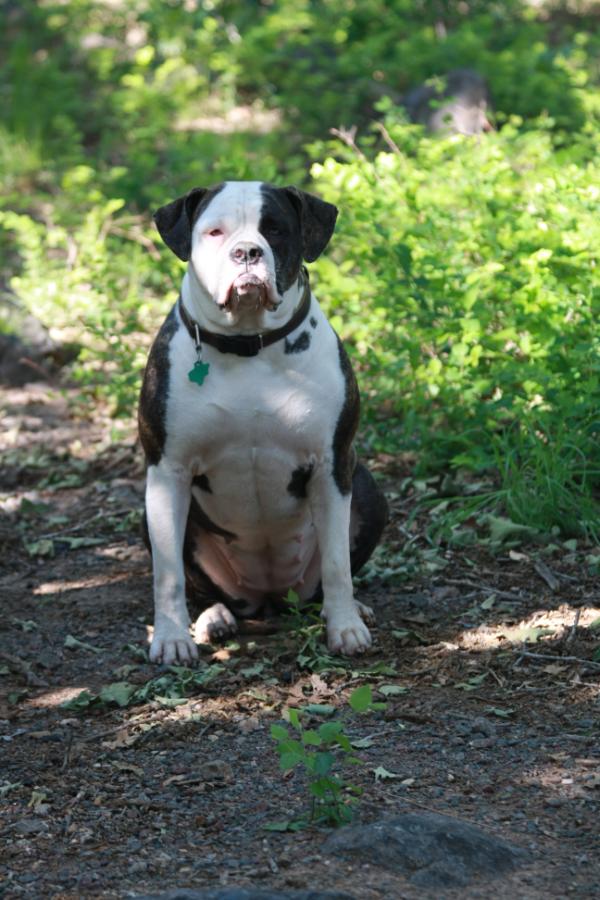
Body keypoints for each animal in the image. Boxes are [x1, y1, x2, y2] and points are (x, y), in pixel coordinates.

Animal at [138, 181, 386, 668]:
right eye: (214, 232)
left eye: (274, 228)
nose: (247, 252)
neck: (247, 345)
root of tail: (270, 598)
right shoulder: (167, 471)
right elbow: (168, 573)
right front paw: (170, 637)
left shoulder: (332, 466)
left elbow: (337, 564)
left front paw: (345, 626)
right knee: (201, 586)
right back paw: (214, 617)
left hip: (368, 488)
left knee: (325, 581)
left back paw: (348, 608)